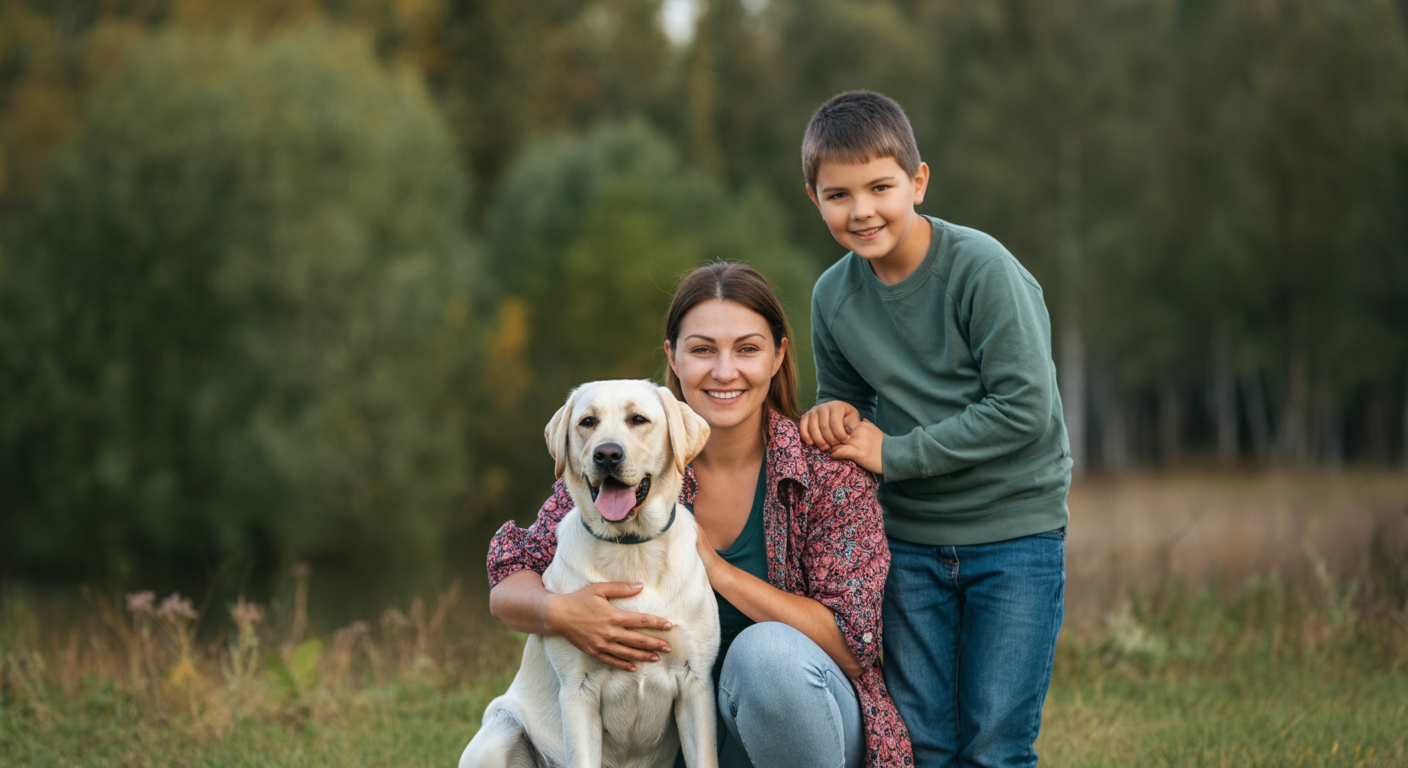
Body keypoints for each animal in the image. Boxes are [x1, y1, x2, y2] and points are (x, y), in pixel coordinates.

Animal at [461, 377, 720, 766]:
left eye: (638, 419)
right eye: (587, 422)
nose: (607, 454)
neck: (631, 548)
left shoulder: (695, 684)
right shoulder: (577, 690)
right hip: (500, 728)